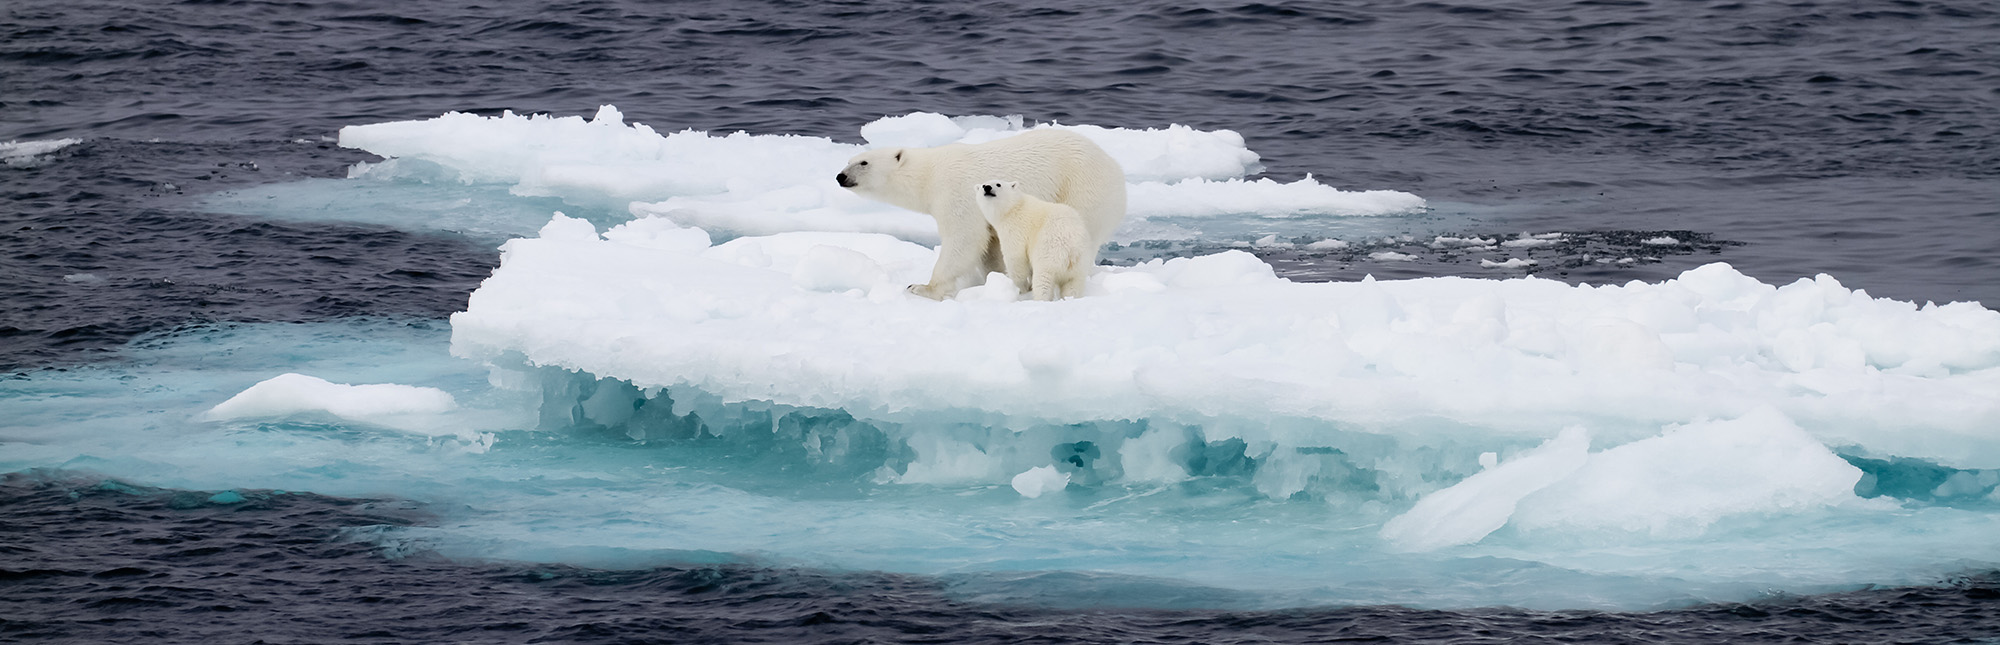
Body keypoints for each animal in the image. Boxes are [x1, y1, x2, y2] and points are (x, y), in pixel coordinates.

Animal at [832, 128, 1128, 300]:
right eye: (849, 160)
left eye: (863, 162)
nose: (840, 176)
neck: (930, 175)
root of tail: (1115, 167)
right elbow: (990, 245)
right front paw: (995, 280)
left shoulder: (955, 193)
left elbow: (963, 239)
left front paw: (922, 287)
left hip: (1082, 186)